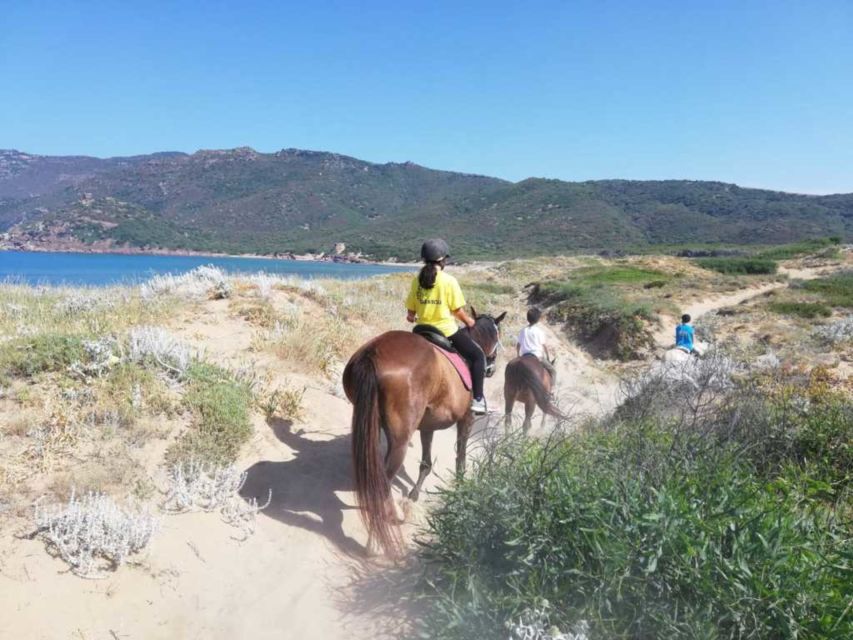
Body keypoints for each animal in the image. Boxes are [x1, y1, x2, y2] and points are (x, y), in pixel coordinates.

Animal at [340, 308, 502, 552]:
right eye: (498, 335)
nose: (491, 368)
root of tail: (373, 354)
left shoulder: (428, 425)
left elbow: (425, 463)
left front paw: (413, 496)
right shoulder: (466, 420)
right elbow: (461, 459)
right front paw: (460, 489)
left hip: (371, 423)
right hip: (400, 440)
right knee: (383, 480)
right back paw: (377, 539)